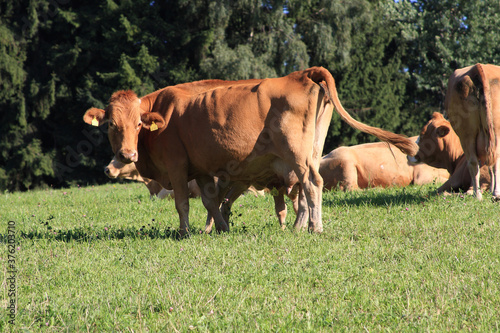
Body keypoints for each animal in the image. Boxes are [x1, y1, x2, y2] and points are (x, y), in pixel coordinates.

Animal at [84, 66, 416, 235]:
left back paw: (315, 227)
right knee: (305, 189)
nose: (127, 155)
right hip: (311, 151)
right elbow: (211, 201)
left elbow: (183, 203)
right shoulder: (201, 168)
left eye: (139, 123)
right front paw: (219, 229)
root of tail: (300, 73)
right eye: (111, 125)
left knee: (312, 183)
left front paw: (186, 232)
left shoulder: (178, 166)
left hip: (296, 153)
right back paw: (299, 226)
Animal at [442, 64, 500, 200]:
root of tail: (478, 67)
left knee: (475, 162)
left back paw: (478, 194)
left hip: (467, 135)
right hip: (488, 132)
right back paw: (492, 194)